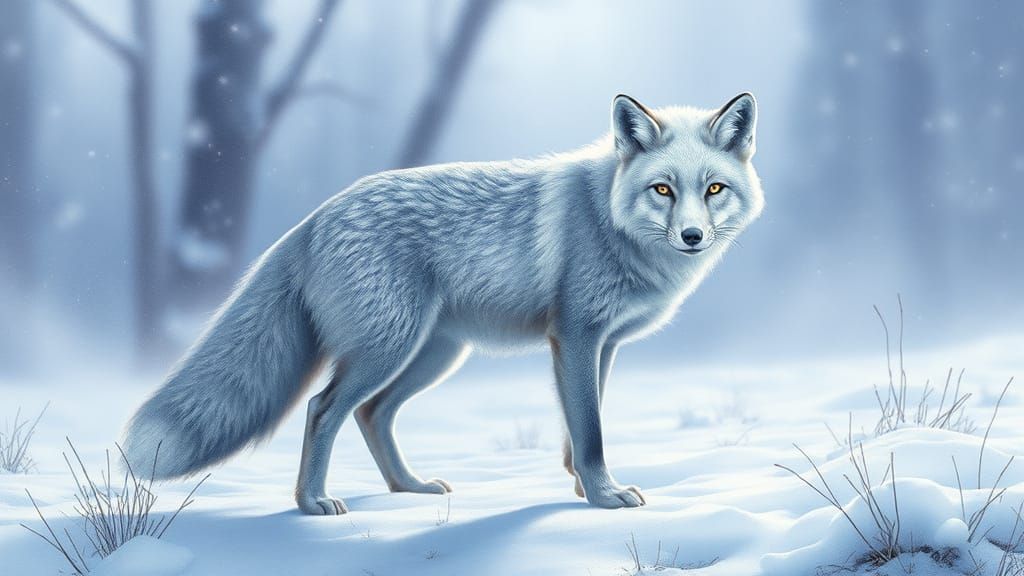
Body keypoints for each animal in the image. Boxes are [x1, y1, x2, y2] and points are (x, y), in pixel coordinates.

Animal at [123, 93, 764, 514]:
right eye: (663, 189)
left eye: (713, 189)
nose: (692, 237)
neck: (609, 216)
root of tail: (315, 217)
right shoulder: (577, 337)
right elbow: (590, 432)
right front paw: (604, 499)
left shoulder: (601, 347)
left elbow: (582, 430)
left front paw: (586, 489)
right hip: (387, 349)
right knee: (322, 409)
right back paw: (312, 503)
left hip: (432, 356)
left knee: (371, 413)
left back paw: (407, 489)